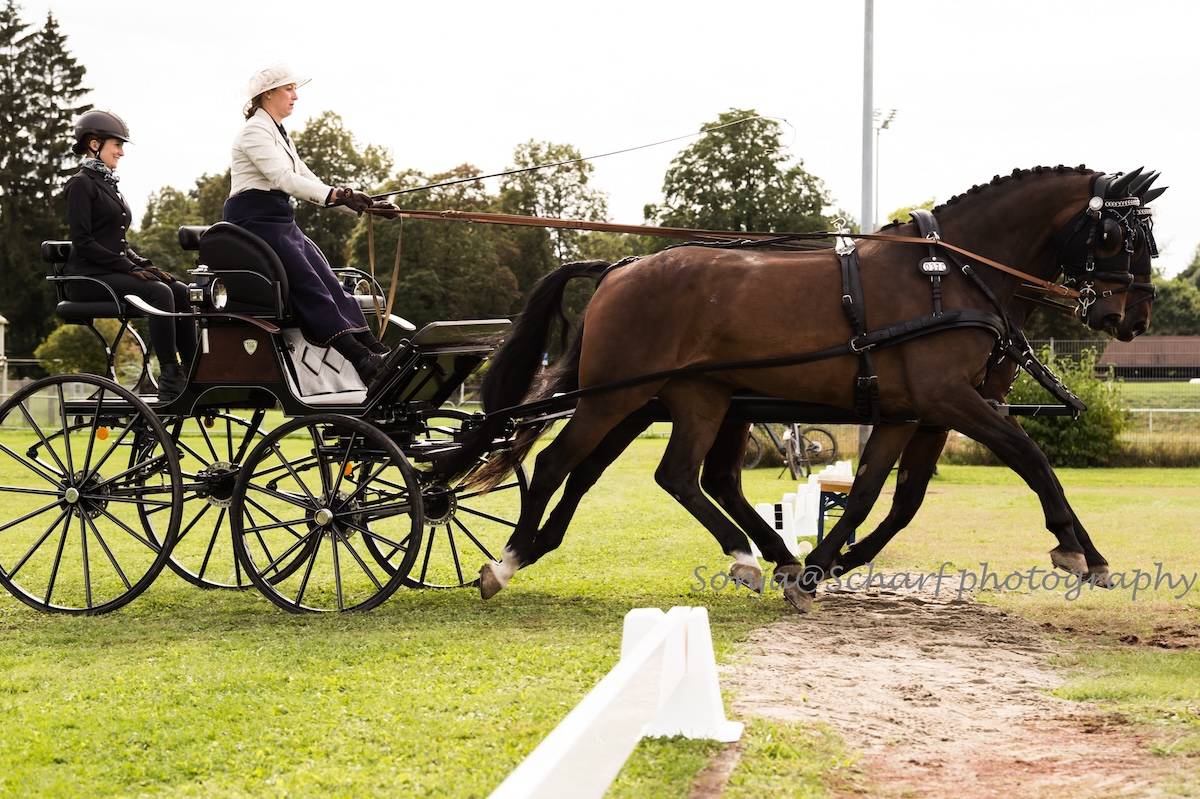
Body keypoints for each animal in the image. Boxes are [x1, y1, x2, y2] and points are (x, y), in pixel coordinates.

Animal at [441, 164, 1142, 607]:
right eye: (1116, 237)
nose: (1130, 319)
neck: (949, 275)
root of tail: (622, 267)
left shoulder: (915, 412)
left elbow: (881, 496)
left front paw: (824, 565)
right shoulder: (952, 400)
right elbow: (1031, 459)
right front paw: (1078, 553)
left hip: (689, 400)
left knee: (669, 474)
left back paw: (754, 554)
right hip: (620, 397)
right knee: (563, 462)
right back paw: (506, 562)